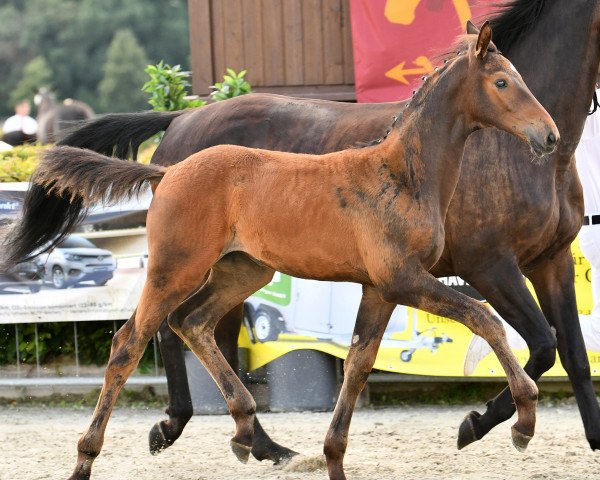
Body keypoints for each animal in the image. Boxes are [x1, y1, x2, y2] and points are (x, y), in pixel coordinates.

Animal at [50, 0, 600, 460]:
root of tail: (166, 166)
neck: (402, 172)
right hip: (176, 267)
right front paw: (506, 422)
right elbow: (499, 325)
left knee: (194, 325)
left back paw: (250, 436)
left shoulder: (389, 287)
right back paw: (125, 442)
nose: (547, 135)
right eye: (503, 83)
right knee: (136, 339)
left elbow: (360, 362)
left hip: (242, 270)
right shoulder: (446, 271)